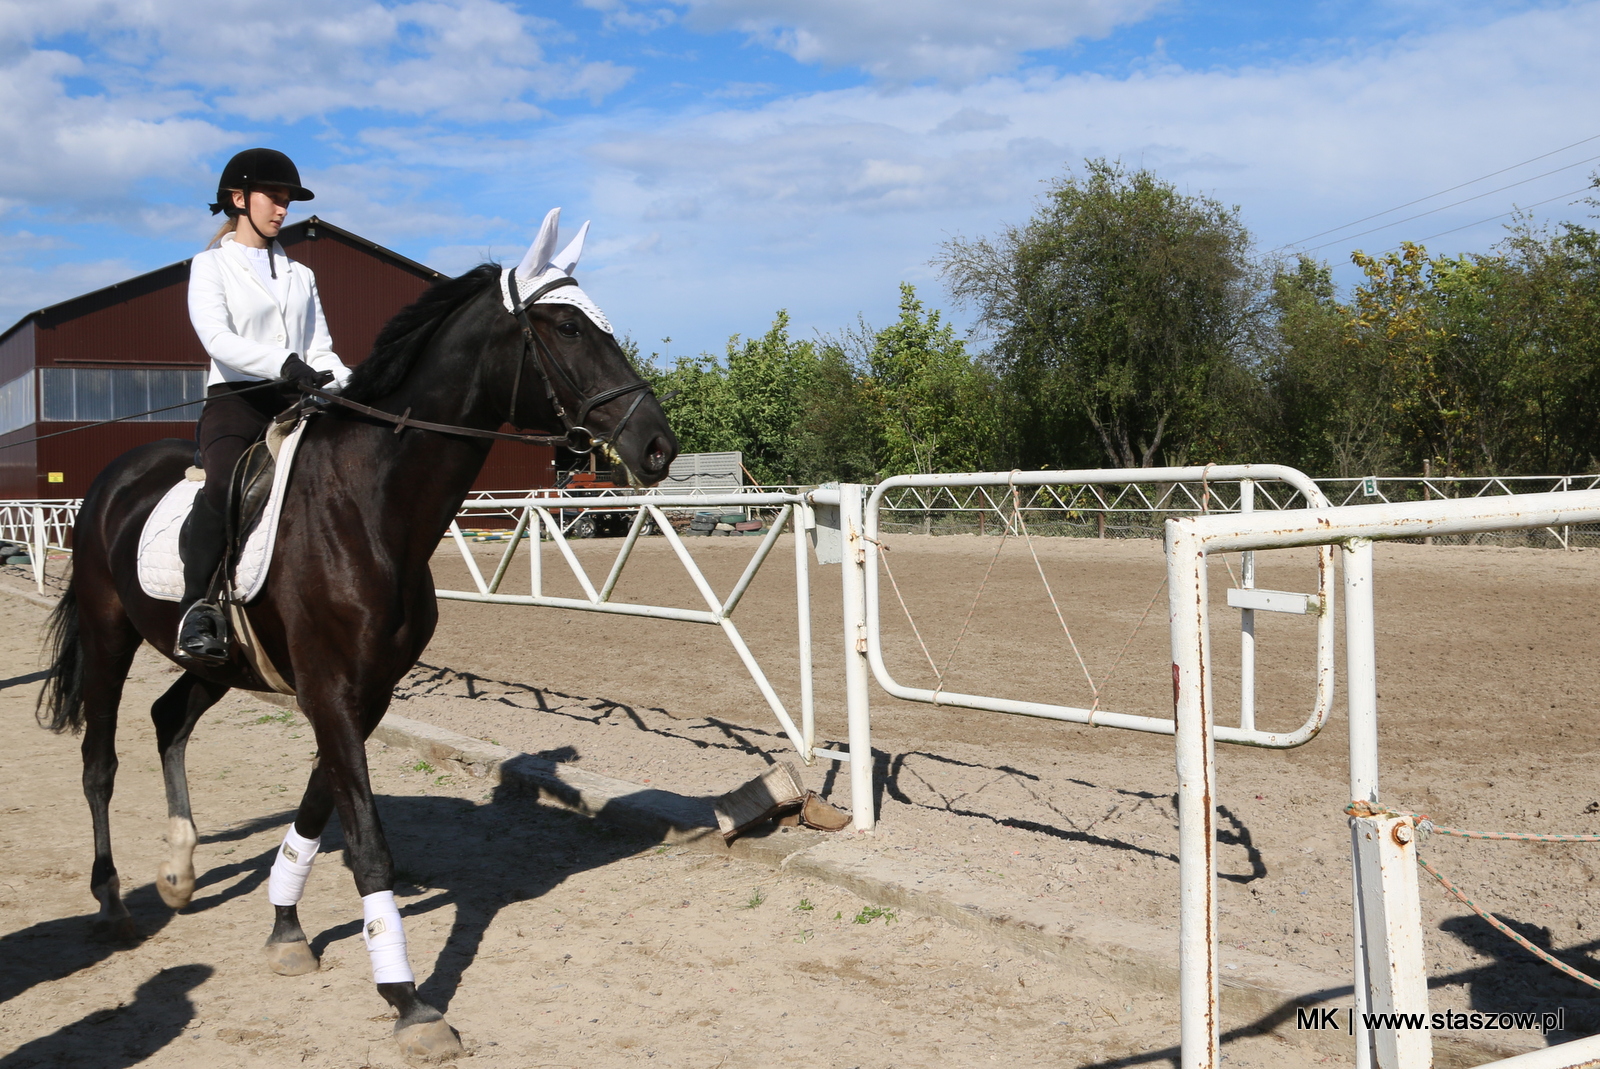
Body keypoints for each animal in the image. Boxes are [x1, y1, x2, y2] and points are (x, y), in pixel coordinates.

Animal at [37, 256, 675, 1049]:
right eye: (566, 327)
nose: (656, 444)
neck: (370, 507)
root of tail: (113, 477)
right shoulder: (330, 688)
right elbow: (368, 839)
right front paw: (408, 999)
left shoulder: (364, 690)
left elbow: (319, 807)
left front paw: (285, 926)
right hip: (107, 635)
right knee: (99, 761)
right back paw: (113, 904)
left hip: (219, 663)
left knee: (168, 720)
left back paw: (179, 873)